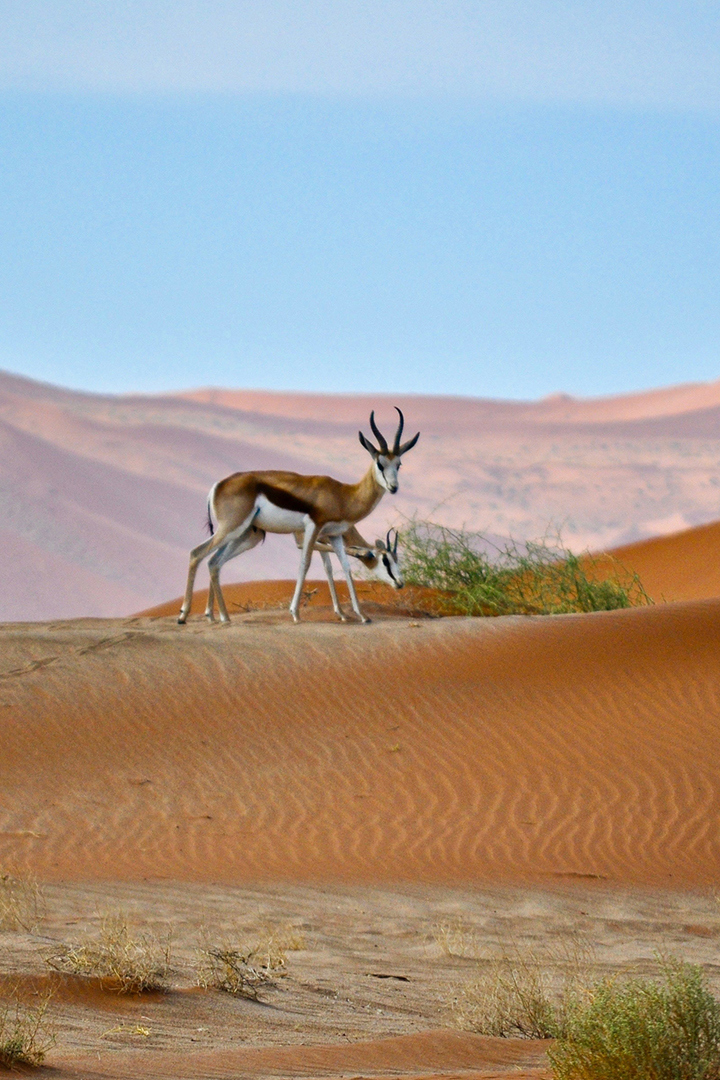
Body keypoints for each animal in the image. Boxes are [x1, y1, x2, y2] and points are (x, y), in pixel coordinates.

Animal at [202, 525, 403, 623]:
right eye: (386, 560)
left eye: (397, 558)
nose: (400, 583)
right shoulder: (304, 539)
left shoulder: (323, 540)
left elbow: (328, 568)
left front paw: (341, 613)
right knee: (213, 558)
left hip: (250, 538)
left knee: (214, 560)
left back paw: (211, 615)